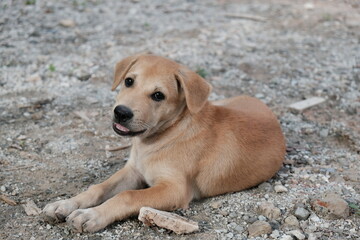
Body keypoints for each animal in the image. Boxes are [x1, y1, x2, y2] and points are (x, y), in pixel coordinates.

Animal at [42, 54, 286, 232]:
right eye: (129, 81)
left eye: (158, 95)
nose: (121, 112)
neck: (164, 136)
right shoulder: (133, 171)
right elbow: (98, 188)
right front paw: (66, 204)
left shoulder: (175, 189)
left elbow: (127, 195)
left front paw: (92, 214)